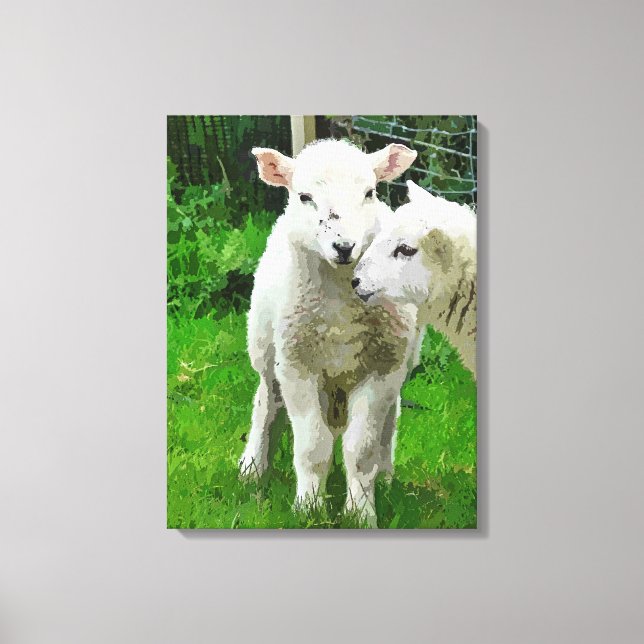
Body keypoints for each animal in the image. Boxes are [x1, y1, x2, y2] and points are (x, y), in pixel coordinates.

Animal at [239, 139, 417, 522]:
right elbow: (312, 446)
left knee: (389, 422)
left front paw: (361, 513)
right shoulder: (297, 366)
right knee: (265, 402)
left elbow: (360, 451)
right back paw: (252, 468)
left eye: (369, 192)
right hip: (265, 345)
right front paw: (308, 508)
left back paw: (386, 477)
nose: (344, 247)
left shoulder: (382, 368)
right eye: (305, 196)